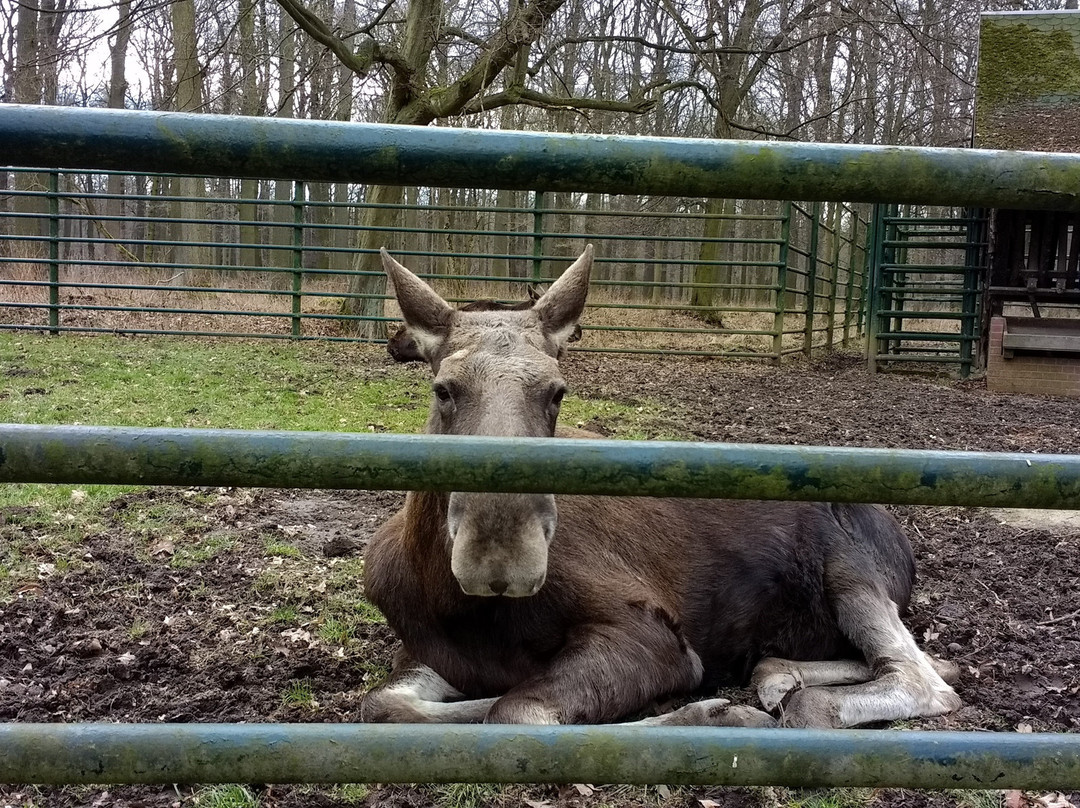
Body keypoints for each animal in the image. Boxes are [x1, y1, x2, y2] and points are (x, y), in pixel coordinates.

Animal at [365, 246, 963, 725]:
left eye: (557, 391)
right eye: (444, 389)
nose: (501, 558)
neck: (454, 604)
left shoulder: (656, 636)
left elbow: (517, 708)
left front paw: (712, 715)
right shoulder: (426, 654)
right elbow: (387, 703)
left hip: (848, 568)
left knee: (921, 678)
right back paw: (776, 672)